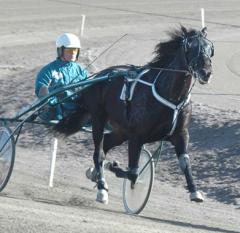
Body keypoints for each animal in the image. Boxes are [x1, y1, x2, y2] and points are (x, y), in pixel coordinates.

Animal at [55, 25, 214, 204]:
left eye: (210, 48)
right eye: (191, 47)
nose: (206, 72)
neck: (170, 95)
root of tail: (99, 77)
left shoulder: (180, 134)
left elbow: (185, 162)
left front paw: (194, 191)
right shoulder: (137, 136)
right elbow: (133, 173)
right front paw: (113, 166)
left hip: (121, 131)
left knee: (106, 143)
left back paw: (94, 173)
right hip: (98, 118)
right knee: (99, 153)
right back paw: (102, 186)